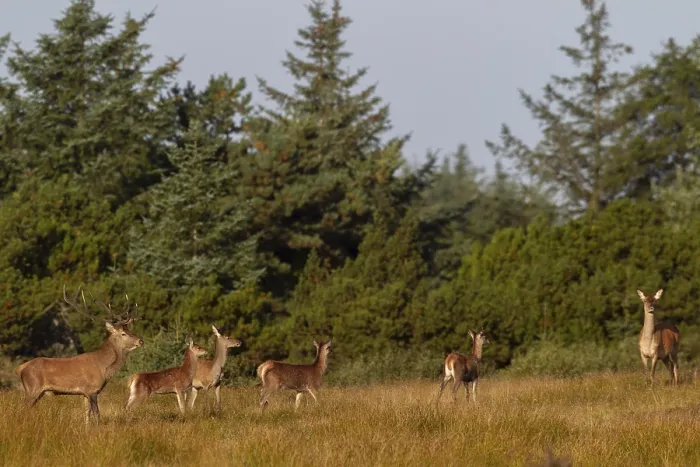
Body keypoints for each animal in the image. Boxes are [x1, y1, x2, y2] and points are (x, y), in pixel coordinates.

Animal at [15, 284, 143, 425]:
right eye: (123, 333)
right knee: (21, 409)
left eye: (129, 330)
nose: (140, 341)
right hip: (32, 388)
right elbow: (97, 415)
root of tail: (20, 368)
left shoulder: (85, 393)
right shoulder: (92, 390)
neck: (103, 368)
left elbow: (86, 414)